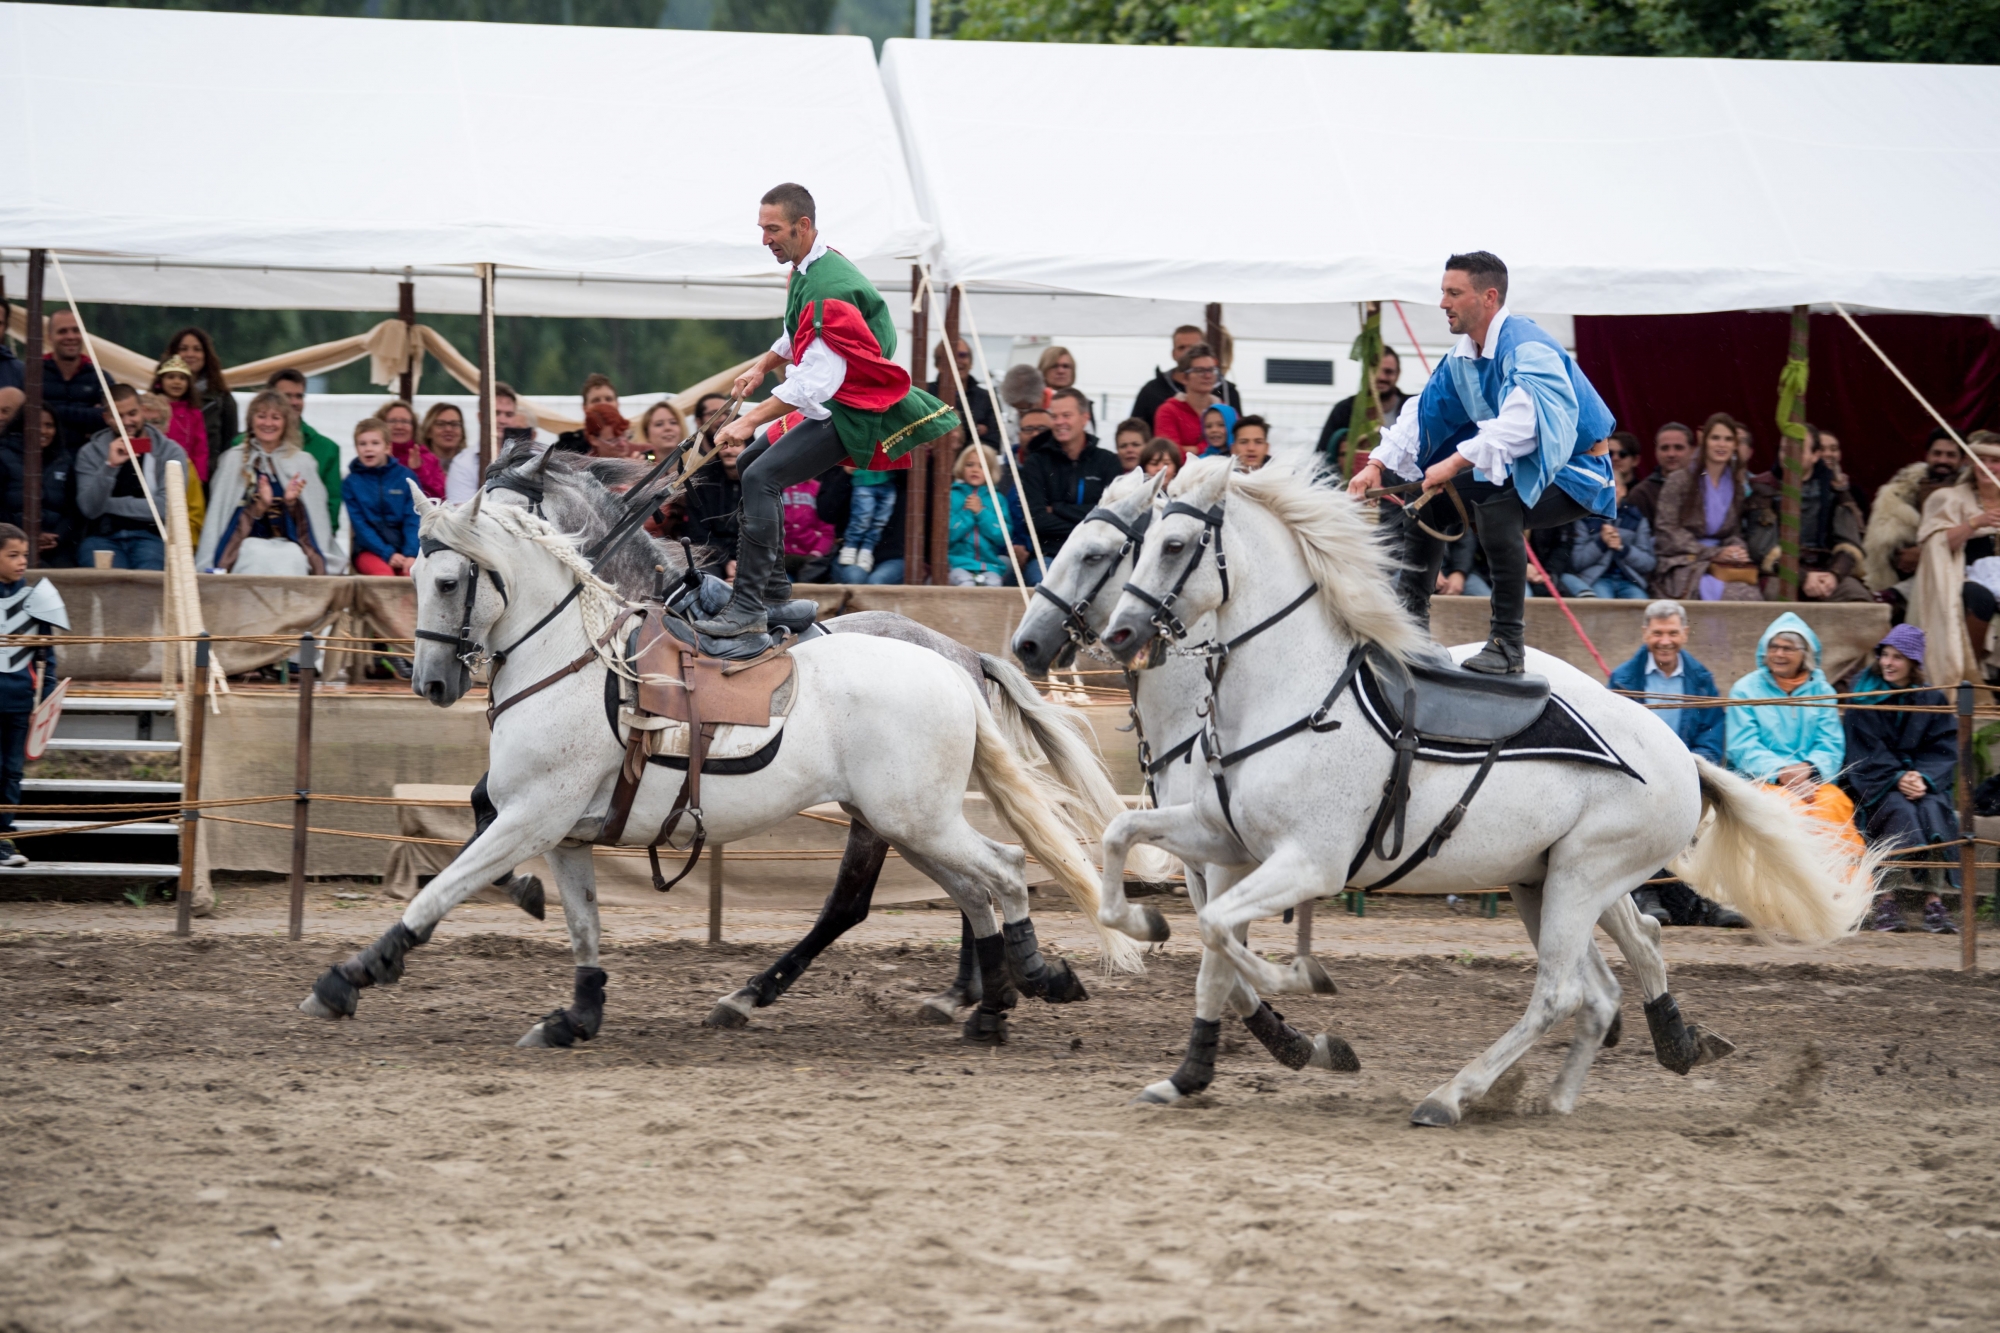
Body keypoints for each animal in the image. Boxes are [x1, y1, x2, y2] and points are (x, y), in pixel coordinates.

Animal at [296, 488, 1144, 1040]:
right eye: (412, 576)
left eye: (446, 579)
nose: (430, 683)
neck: (571, 656)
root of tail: (953, 663)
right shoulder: (564, 830)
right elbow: (581, 923)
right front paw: (577, 1011)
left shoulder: (531, 814)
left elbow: (440, 888)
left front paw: (351, 975)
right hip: (902, 821)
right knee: (970, 889)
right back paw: (983, 1000)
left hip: (912, 819)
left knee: (992, 873)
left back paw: (1010, 990)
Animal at [1096, 456, 1872, 1120]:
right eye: (1138, 546)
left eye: (1174, 544)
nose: (1119, 632)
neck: (1301, 695)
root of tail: (1681, 754)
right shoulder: (1221, 835)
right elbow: (1127, 845)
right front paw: (1148, 936)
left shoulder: (1308, 861)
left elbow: (1219, 930)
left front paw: (1298, 979)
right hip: (1542, 882)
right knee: (1605, 982)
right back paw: (1564, 1092)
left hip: (1584, 878)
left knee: (1562, 991)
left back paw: (1453, 1095)